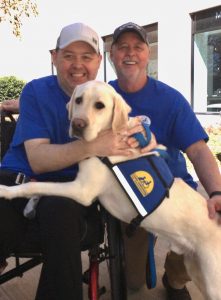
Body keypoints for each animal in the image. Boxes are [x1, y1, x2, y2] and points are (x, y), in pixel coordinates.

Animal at [0, 81, 221, 298]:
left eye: (100, 106)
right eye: (78, 100)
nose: (77, 124)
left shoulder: (82, 190)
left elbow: (35, 184)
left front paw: (6, 191)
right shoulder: (76, 183)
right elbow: (43, 184)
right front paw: (30, 205)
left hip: (212, 282)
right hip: (196, 270)